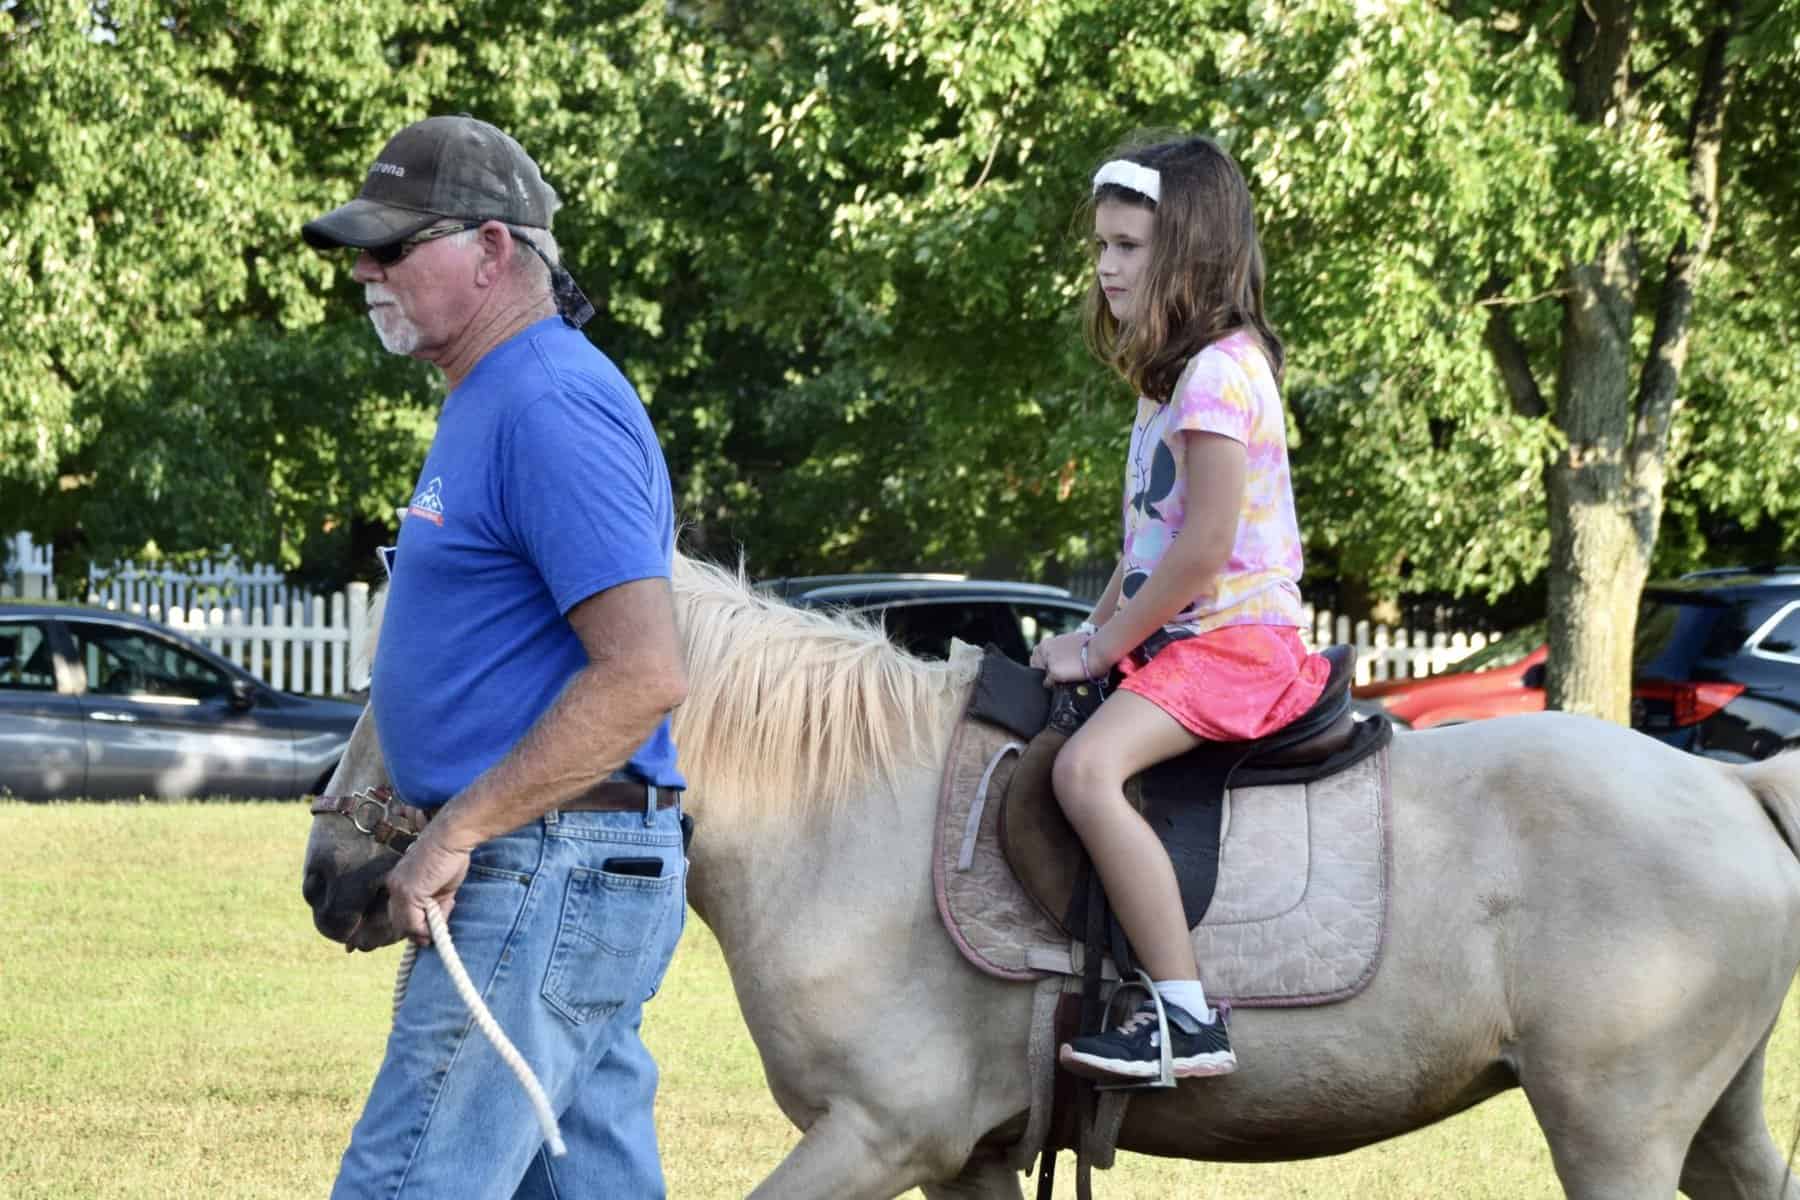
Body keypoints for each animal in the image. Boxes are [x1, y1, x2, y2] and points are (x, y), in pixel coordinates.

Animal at [306, 557, 1800, 1200]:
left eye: (437, 674)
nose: (331, 873)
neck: (841, 813)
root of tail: (1732, 787)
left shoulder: (881, 1136)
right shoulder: (966, 1162)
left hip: (1616, 1133)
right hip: (1709, 1124)